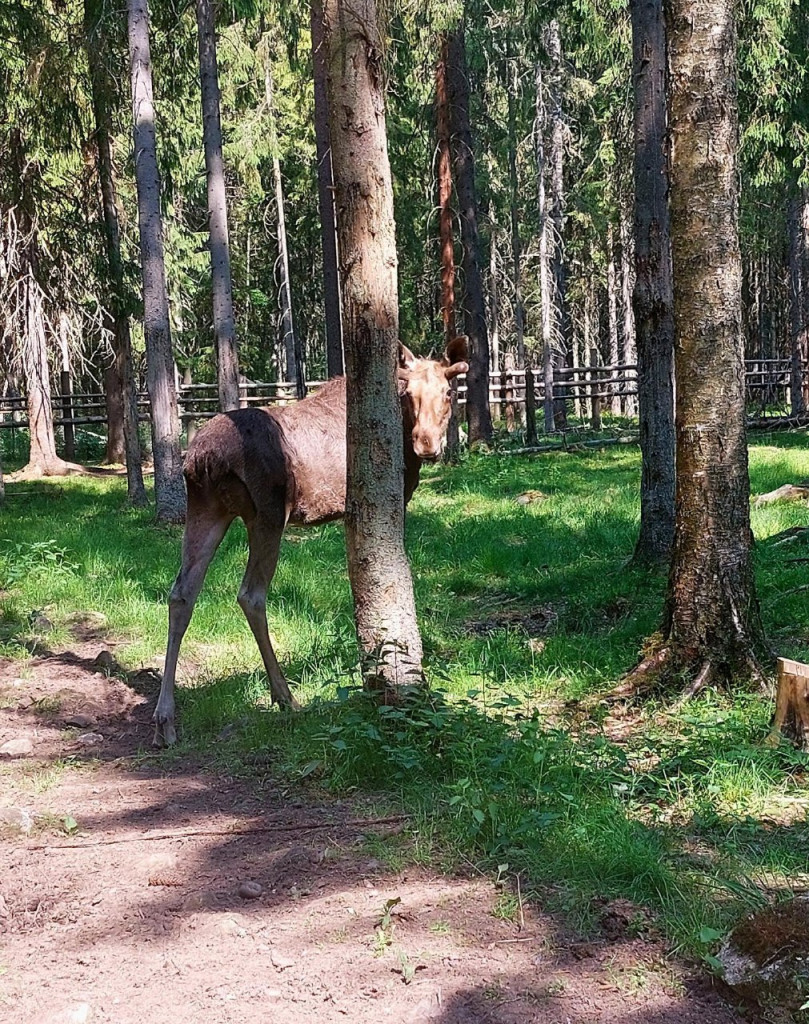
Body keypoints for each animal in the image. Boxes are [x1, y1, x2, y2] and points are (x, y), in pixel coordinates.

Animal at [152, 335, 471, 745]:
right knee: (250, 594)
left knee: (181, 592)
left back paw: (165, 719)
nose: (426, 445)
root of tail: (201, 457)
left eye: (448, 391)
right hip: (267, 514)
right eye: (409, 393)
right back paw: (284, 696)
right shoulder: (375, 504)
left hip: (208, 509)